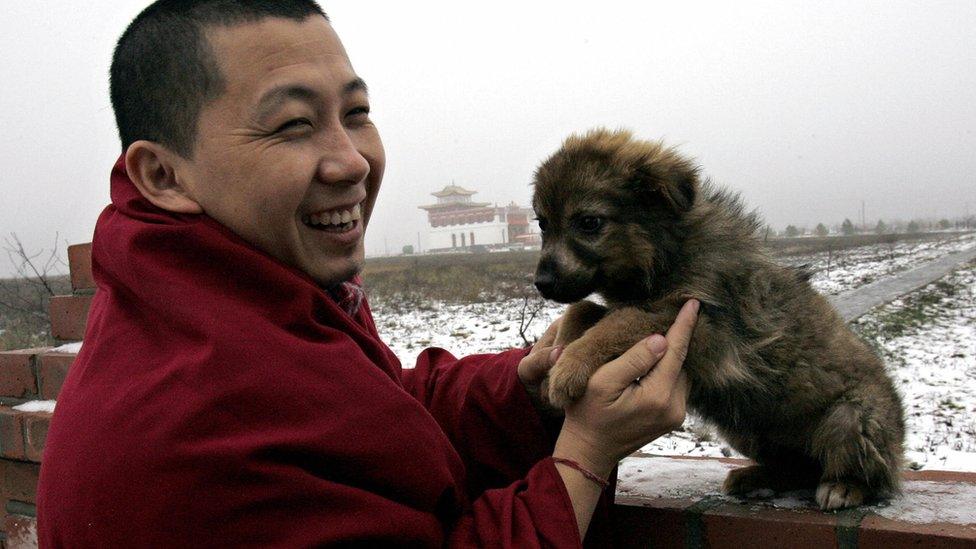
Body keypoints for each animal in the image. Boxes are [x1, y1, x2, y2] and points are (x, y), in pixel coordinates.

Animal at [532, 130, 908, 510]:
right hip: (746, 427)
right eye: (542, 225)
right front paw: (556, 356)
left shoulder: (704, 324)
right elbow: (584, 310)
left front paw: (568, 368)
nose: (541, 283)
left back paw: (844, 485)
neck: (666, 252)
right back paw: (757, 477)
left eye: (589, 223)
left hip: (851, 417)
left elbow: (621, 322)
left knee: (869, 475)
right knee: (797, 469)